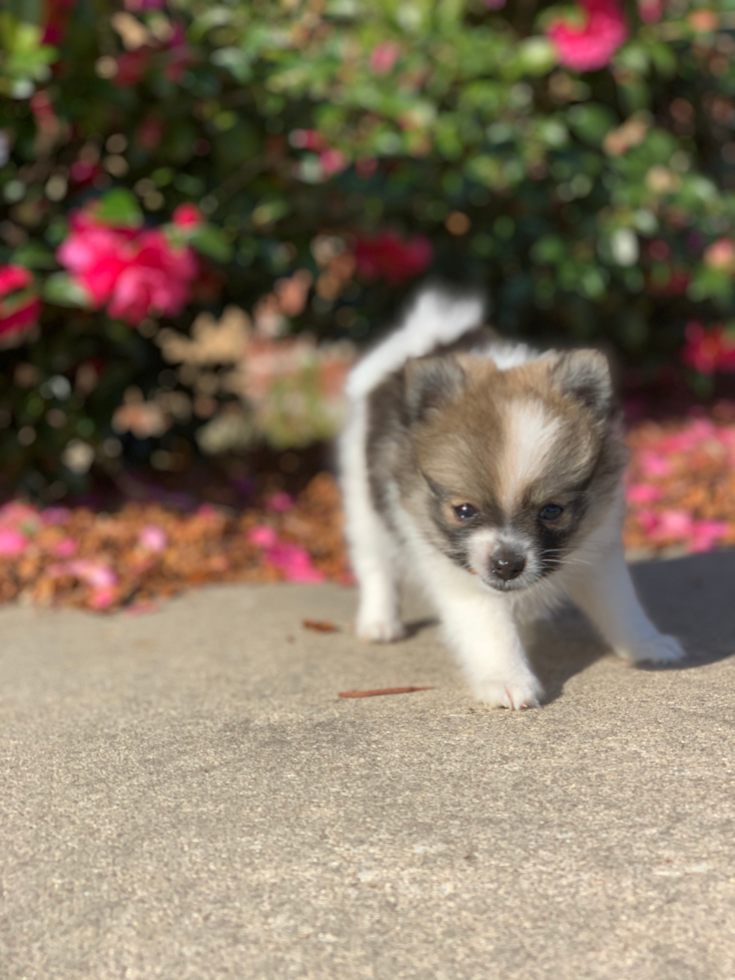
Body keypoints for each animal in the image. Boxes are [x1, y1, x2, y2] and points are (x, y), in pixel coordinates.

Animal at [340, 288, 684, 708]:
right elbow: (490, 628)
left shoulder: (598, 549)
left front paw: (646, 643)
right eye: (465, 510)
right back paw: (379, 621)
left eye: (552, 510)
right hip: (362, 498)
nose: (507, 565)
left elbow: (621, 604)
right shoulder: (462, 572)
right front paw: (507, 679)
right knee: (376, 563)